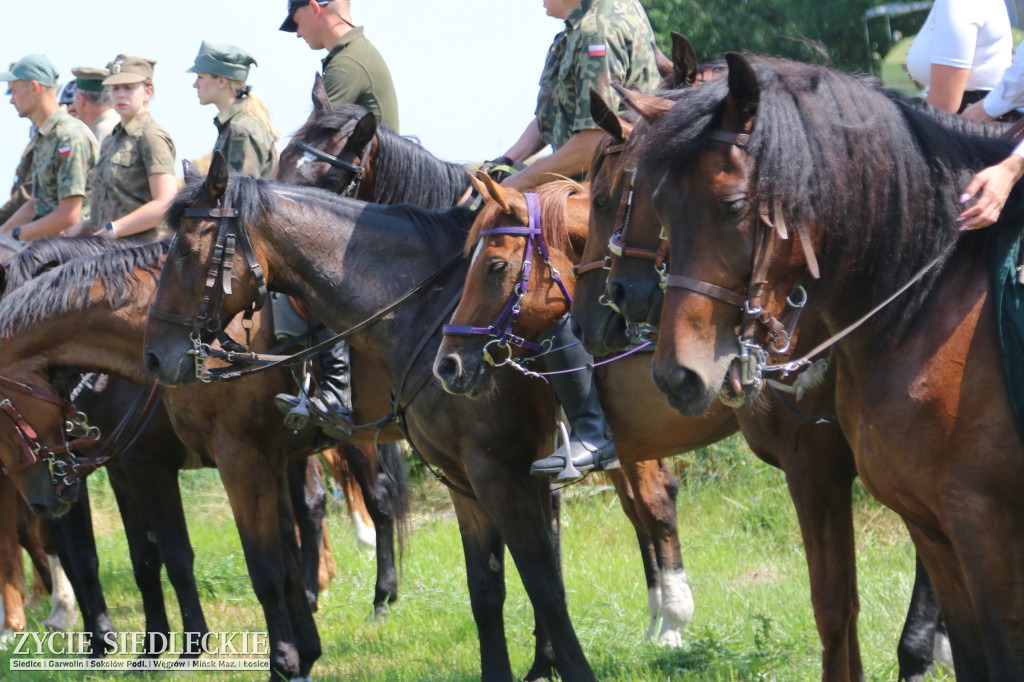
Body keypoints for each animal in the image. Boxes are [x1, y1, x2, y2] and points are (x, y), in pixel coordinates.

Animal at [145, 155, 618, 679]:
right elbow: (493, 589)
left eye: (186, 251)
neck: (427, 311)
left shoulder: (499, 473)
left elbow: (544, 586)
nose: (155, 357)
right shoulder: (474, 478)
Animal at [638, 55, 1024, 675]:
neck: (927, 304)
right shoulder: (933, 529)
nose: (679, 376)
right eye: (659, 206)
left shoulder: (984, 526)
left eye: (734, 206)